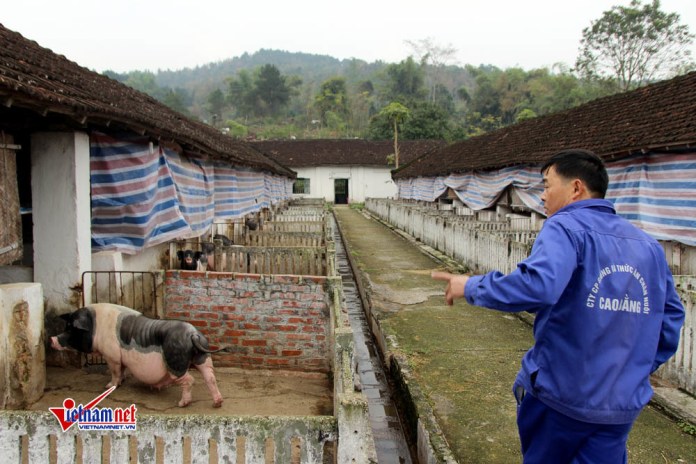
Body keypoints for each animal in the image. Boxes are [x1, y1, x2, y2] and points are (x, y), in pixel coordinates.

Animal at [50, 302, 224, 408]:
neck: (96, 326)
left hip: (175, 361)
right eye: (66, 326)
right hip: (203, 358)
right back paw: (217, 403)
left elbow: (114, 371)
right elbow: (122, 369)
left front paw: (109, 386)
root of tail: (193, 334)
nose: (52, 339)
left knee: (189, 379)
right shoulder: (120, 357)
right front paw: (123, 380)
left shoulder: (111, 355)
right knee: (210, 377)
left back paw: (182, 404)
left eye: (72, 329)